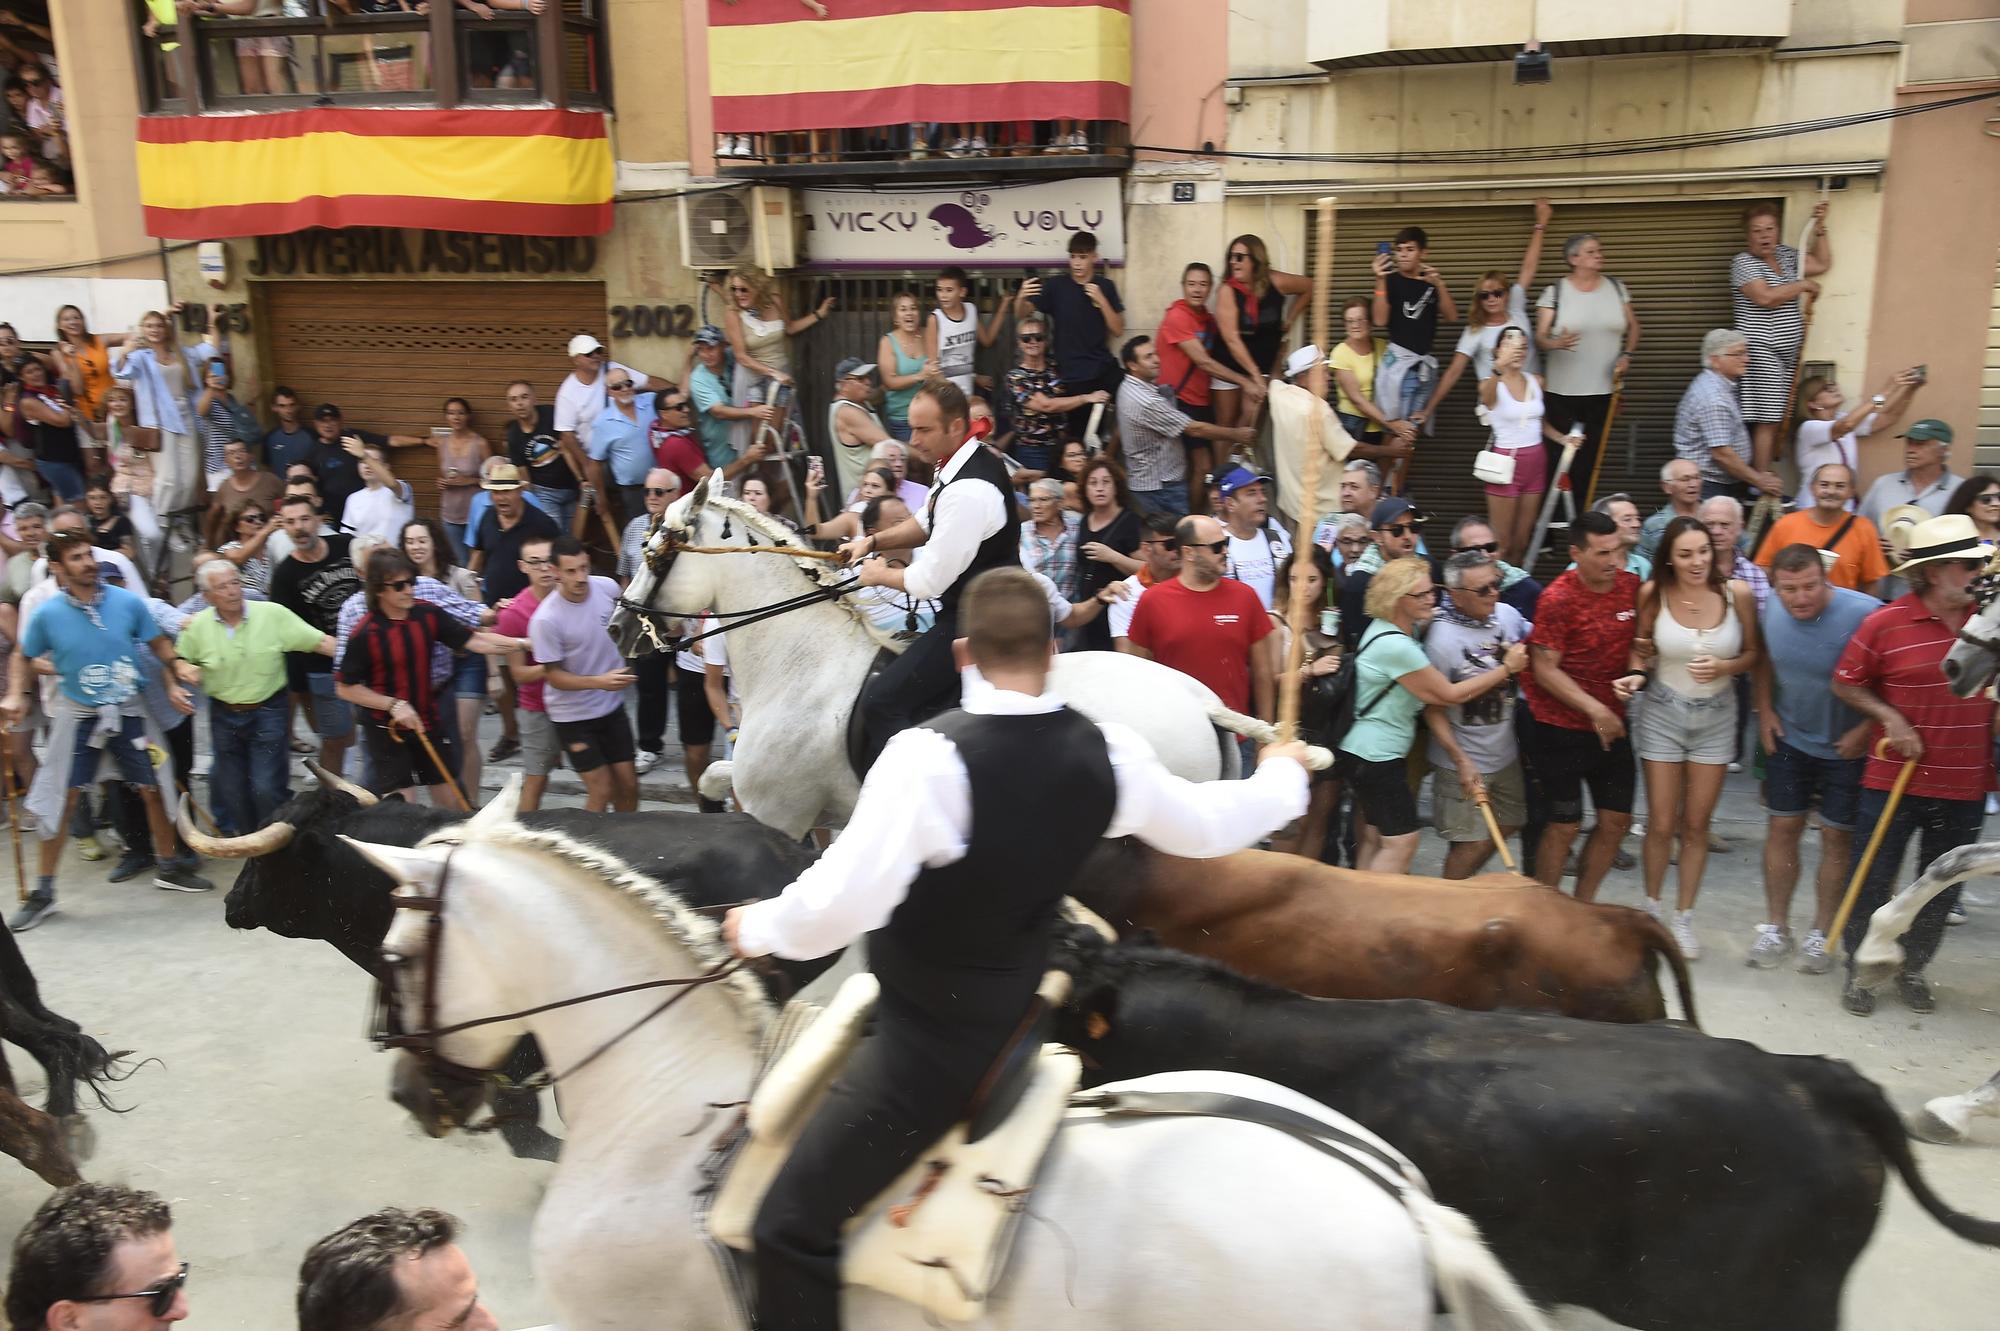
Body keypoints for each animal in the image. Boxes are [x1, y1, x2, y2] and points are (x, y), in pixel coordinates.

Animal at [608, 473, 1296, 831]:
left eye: (657, 551)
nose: (619, 626)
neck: (802, 666)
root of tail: (1195, 699)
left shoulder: (776, 807)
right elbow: (716, 779)